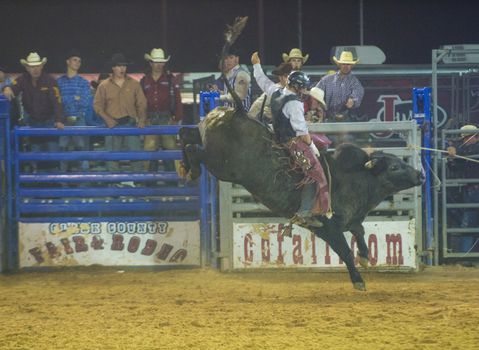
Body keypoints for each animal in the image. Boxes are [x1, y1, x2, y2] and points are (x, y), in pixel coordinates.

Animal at [180, 107, 424, 292]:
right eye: (394, 167)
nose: (420, 175)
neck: (355, 178)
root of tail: (235, 113)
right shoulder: (330, 228)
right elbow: (345, 251)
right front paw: (358, 281)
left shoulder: (351, 221)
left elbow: (360, 232)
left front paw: (364, 256)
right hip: (221, 165)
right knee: (194, 148)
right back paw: (191, 169)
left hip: (209, 144)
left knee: (186, 134)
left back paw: (184, 165)